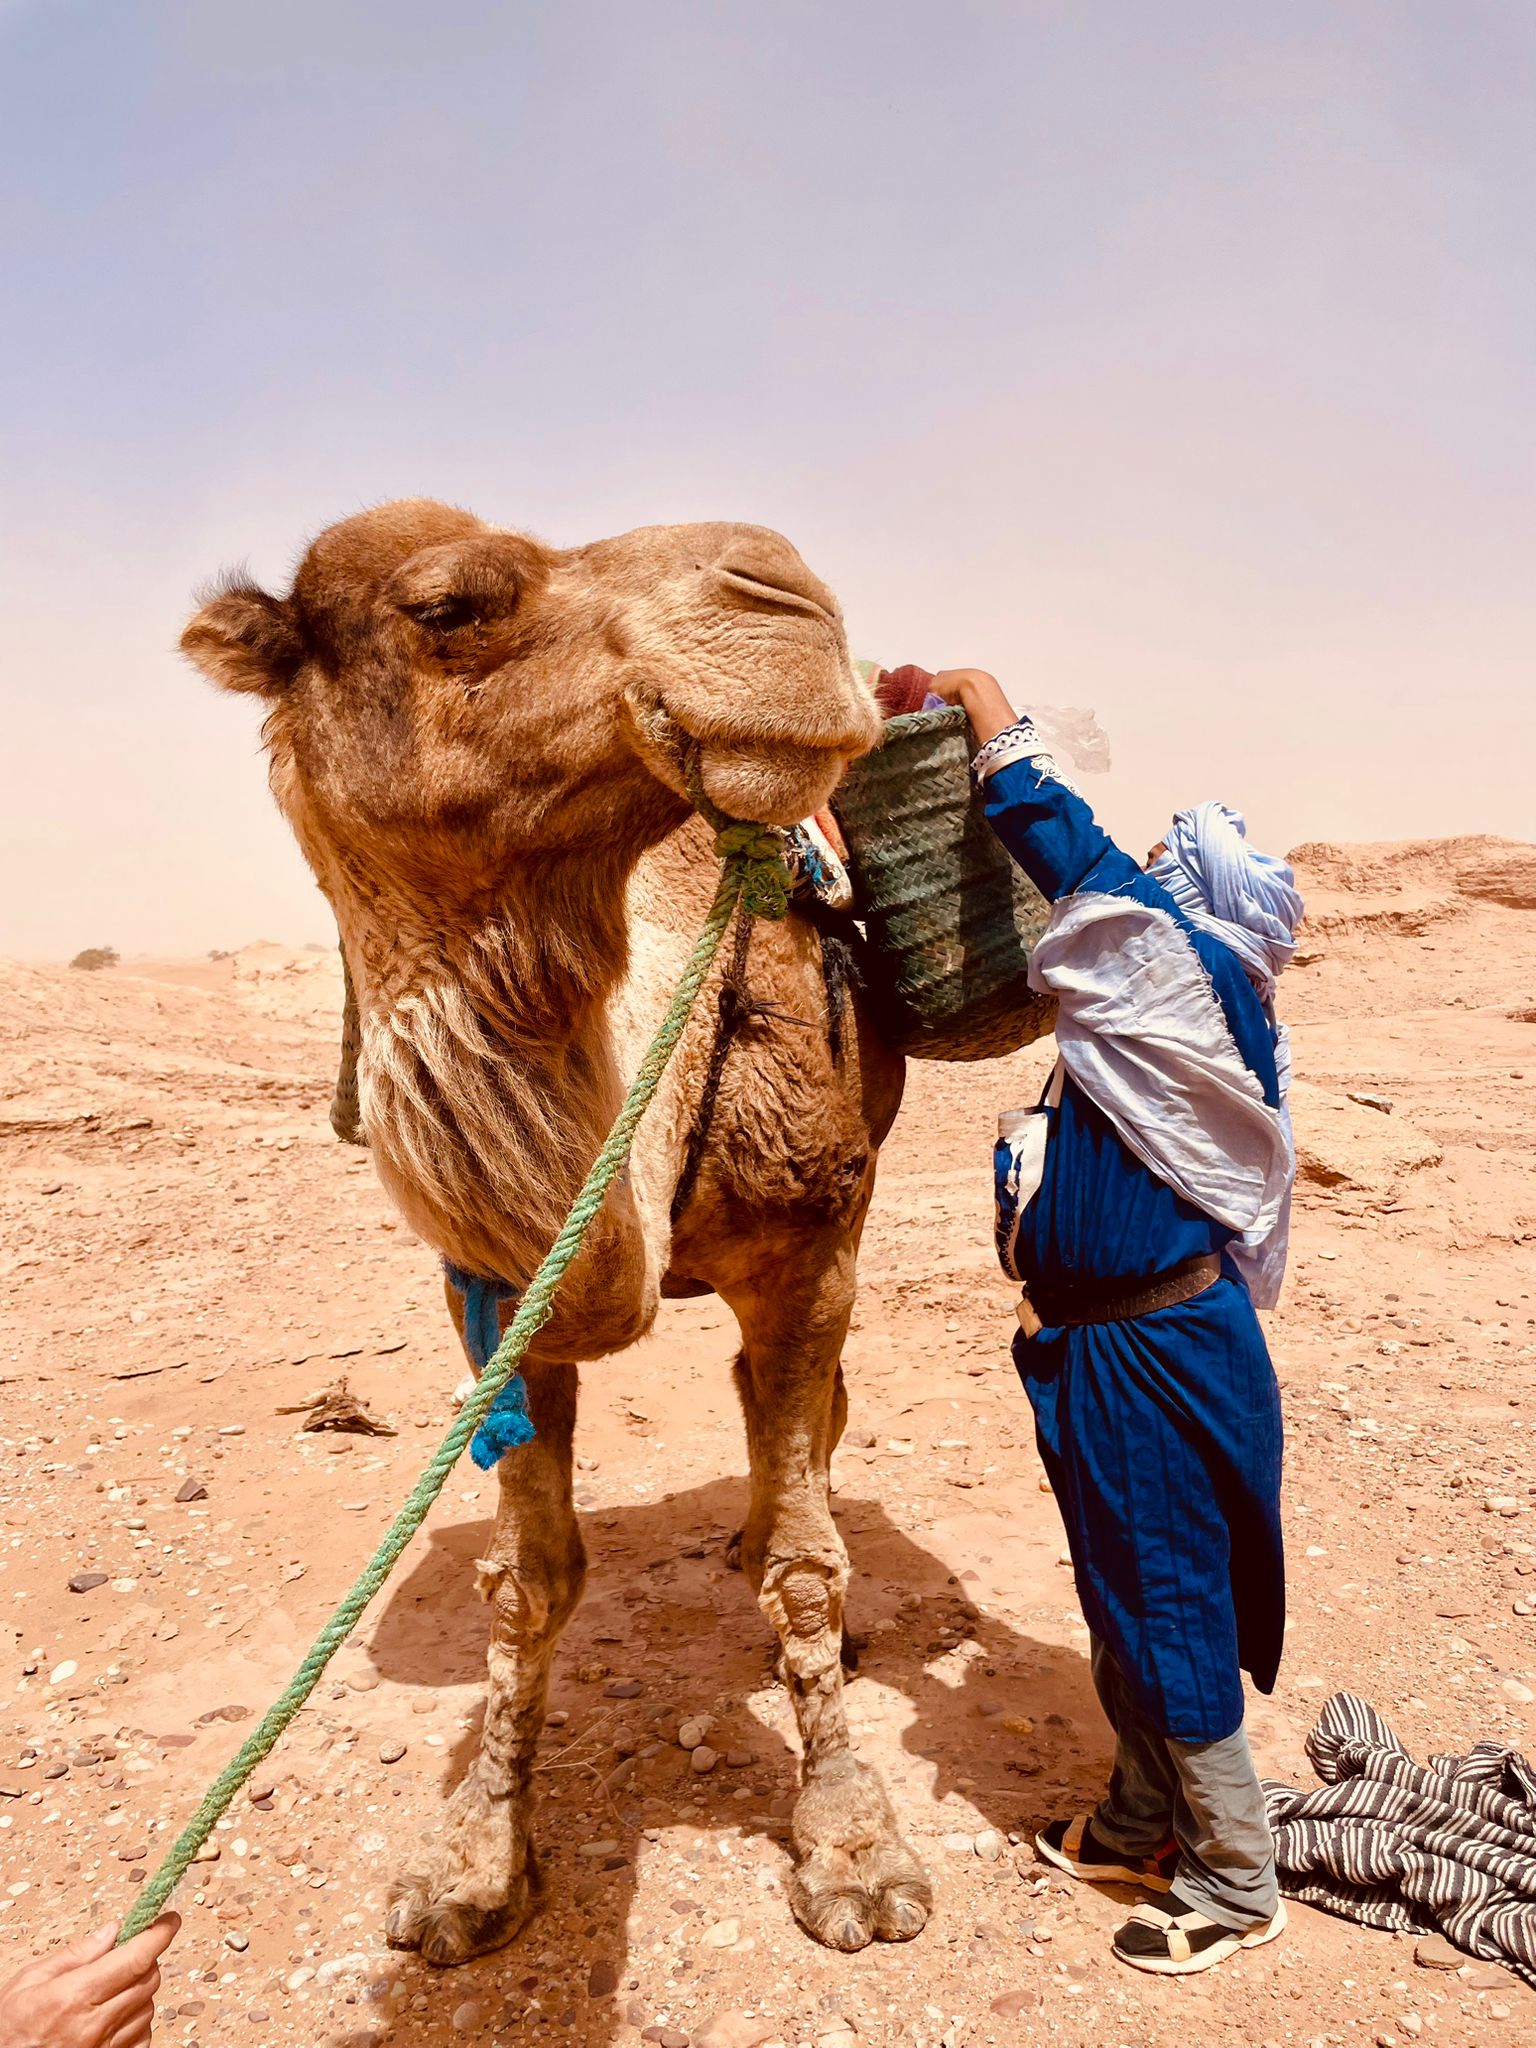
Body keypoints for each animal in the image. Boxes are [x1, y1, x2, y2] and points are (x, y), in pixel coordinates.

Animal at [181, 499, 934, 1967]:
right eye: (450, 605)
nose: (786, 591)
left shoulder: (812, 1243)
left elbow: (809, 1572)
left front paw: (854, 1847)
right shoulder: (493, 1297)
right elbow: (525, 1581)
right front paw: (471, 1865)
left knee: (811, 1412)